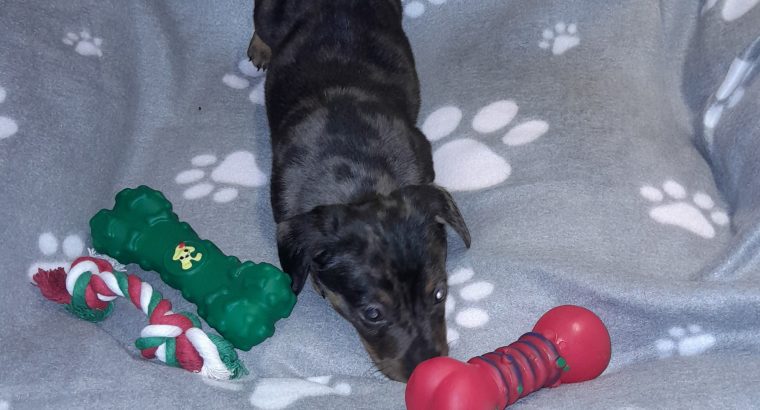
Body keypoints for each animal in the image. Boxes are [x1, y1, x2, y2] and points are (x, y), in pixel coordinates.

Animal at [249, 0, 470, 382]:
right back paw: (260, 47)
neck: (357, 182)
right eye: (372, 314)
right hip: (269, 14)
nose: (426, 367)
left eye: (440, 293)